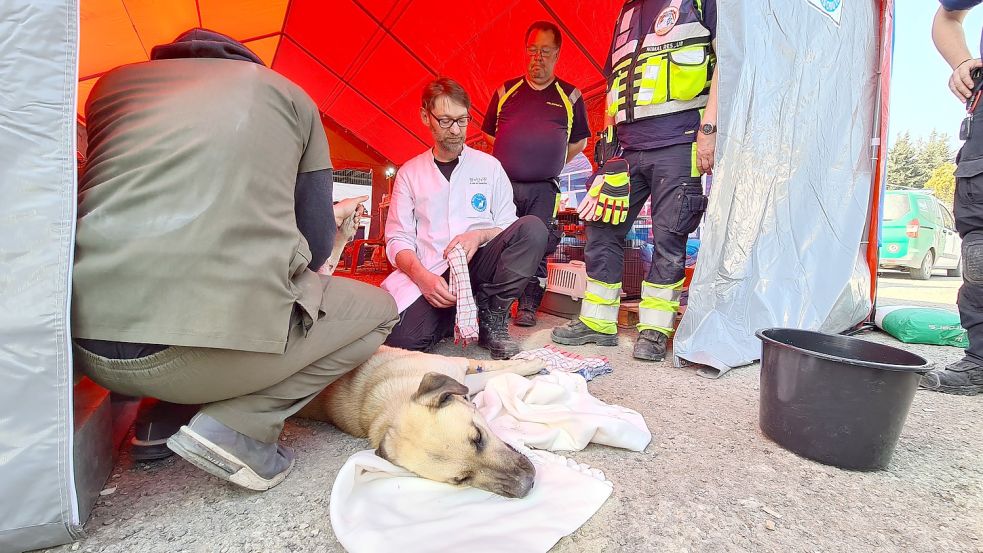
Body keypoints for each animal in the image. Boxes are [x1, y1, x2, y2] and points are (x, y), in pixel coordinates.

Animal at [300, 344, 544, 496]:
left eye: (478, 437)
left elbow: (492, 366)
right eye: (461, 479)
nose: (528, 484)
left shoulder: (457, 366)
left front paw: (533, 362)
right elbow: (491, 372)